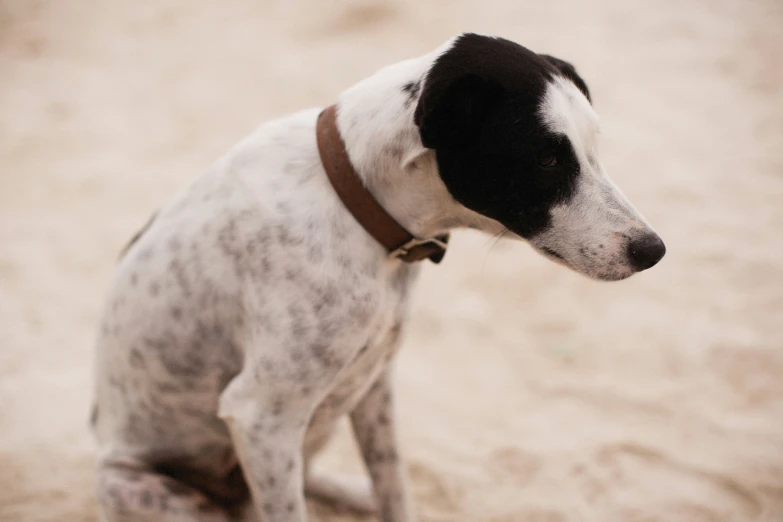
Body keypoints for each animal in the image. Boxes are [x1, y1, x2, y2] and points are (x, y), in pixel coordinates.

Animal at [92, 33, 668, 520]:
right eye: (547, 160)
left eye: (594, 148)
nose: (654, 251)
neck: (356, 202)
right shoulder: (260, 416)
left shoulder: (373, 386)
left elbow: (395, 488)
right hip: (148, 485)